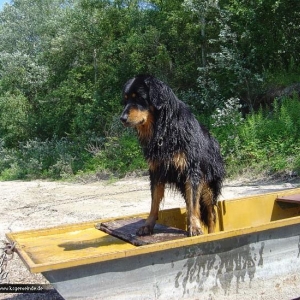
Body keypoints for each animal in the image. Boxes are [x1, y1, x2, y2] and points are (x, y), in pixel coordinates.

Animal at [119, 75, 225, 237]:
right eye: (126, 100)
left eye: (139, 98)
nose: (122, 118)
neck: (165, 130)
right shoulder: (156, 172)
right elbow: (154, 202)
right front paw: (148, 225)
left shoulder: (192, 171)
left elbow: (194, 205)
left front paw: (195, 227)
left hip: (208, 187)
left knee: (210, 214)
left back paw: (211, 234)